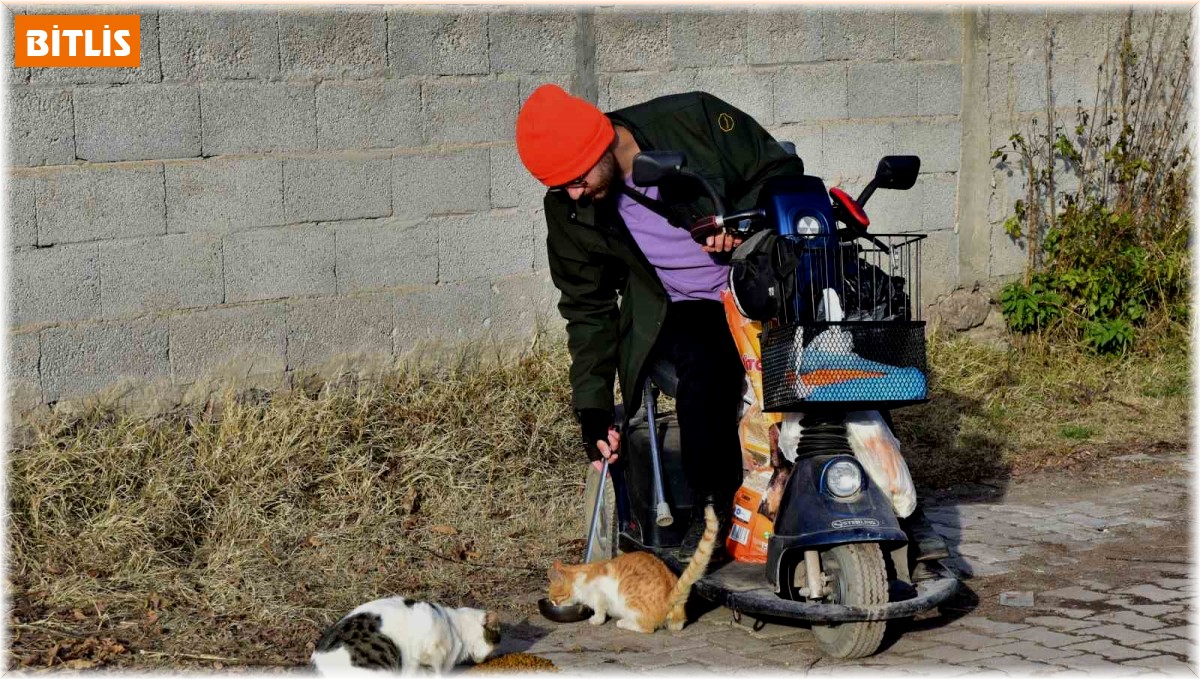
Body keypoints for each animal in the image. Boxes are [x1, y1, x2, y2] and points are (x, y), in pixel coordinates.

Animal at [549, 506, 715, 633]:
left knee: (647, 628)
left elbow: (600, 609)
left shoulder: (601, 592)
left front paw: (596, 619)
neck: (580, 579)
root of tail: (671, 595)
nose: (552, 604)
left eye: (554, 598)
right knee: (677, 626)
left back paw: (623, 622)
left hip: (627, 595)